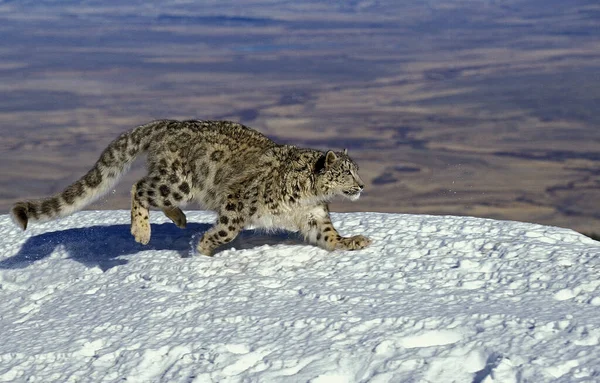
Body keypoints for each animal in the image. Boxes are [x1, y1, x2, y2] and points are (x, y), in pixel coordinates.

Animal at [11, 120, 370, 256]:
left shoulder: (313, 216)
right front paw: (205, 247)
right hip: (178, 182)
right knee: (139, 187)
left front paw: (352, 241)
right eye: (346, 173)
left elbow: (329, 235)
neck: (310, 195)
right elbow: (227, 230)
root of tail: (166, 124)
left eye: (356, 171)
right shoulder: (238, 201)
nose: (362, 185)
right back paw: (142, 232)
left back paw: (179, 219)